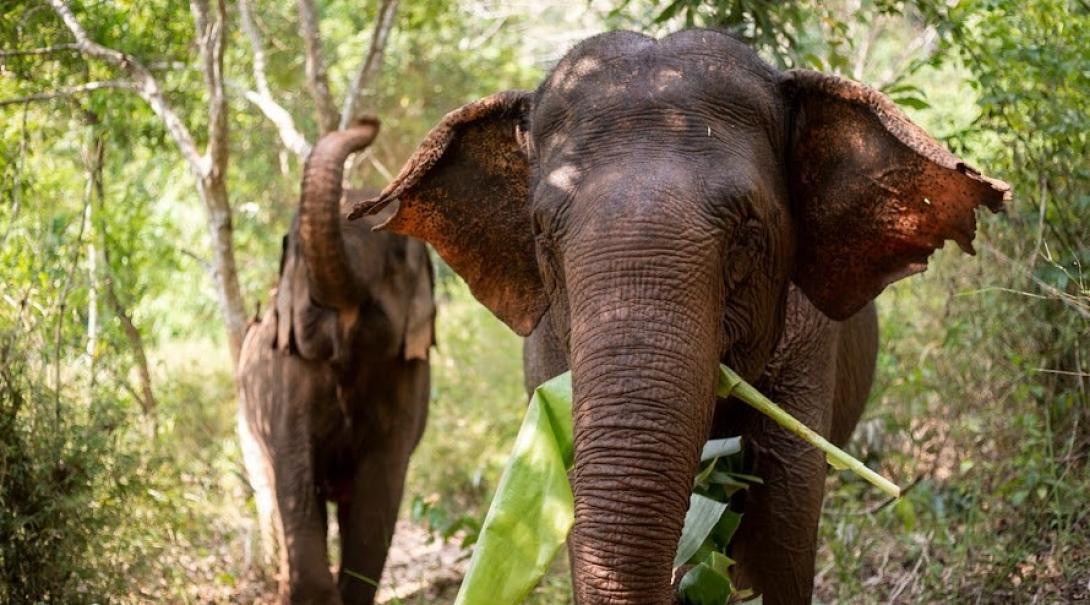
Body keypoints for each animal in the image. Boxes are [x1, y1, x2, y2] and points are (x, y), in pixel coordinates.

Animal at [237, 118, 435, 605]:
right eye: (295, 249)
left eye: (397, 252)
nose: (367, 122)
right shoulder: (288, 378)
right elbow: (295, 475)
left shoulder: (406, 377)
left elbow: (377, 492)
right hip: (244, 425)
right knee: (270, 495)